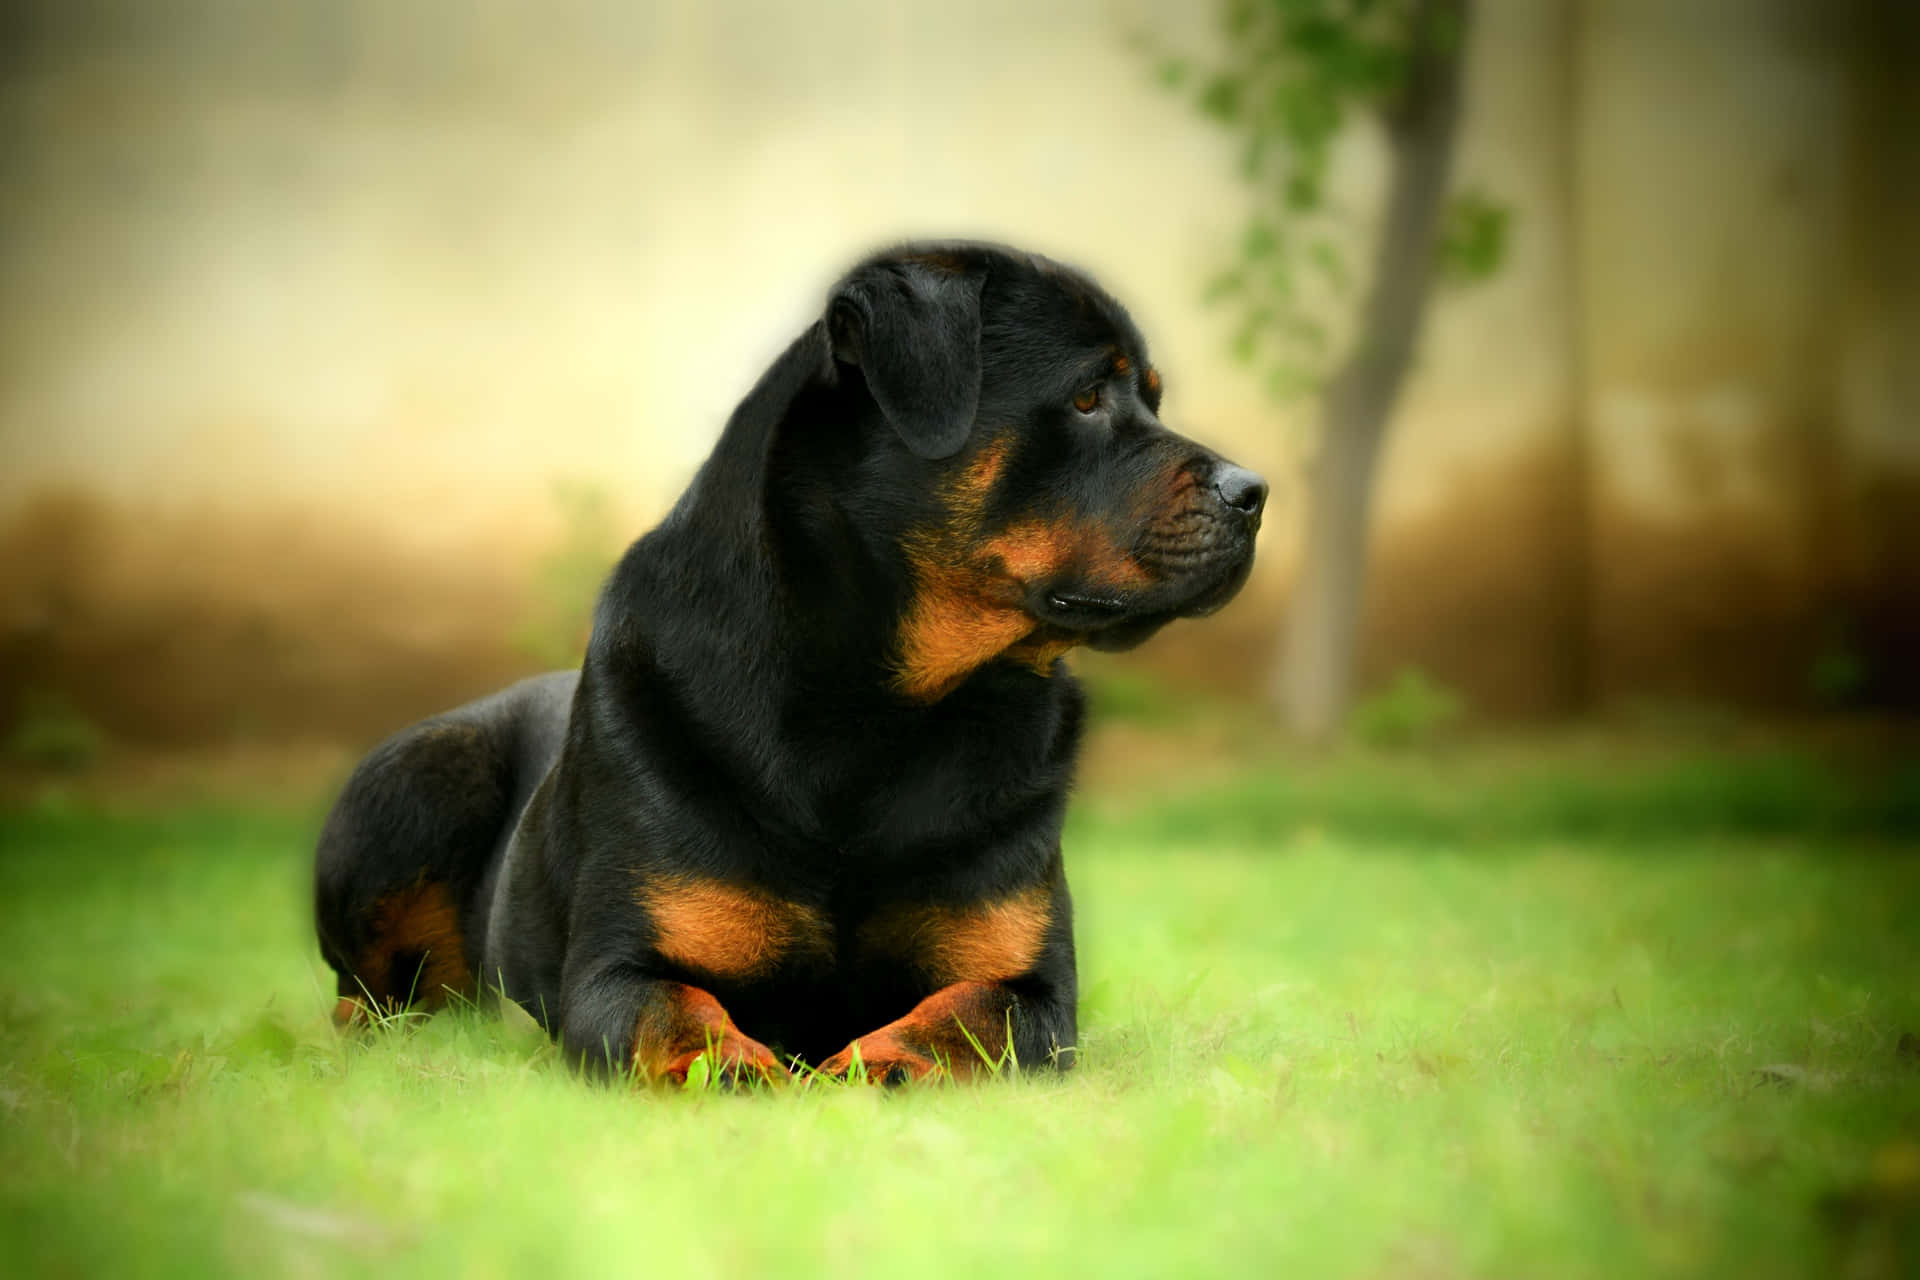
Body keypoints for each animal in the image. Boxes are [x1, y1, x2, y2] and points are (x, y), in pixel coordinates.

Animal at [312, 239, 1267, 1082]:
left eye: (1148, 398)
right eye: (1086, 397)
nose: (1255, 491)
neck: (882, 714)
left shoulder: (1030, 987)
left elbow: (963, 1019)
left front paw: (879, 1064)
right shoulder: (618, 969)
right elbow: (672, 1010)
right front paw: (727, 1065)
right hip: (418, 778)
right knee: (364, 993)